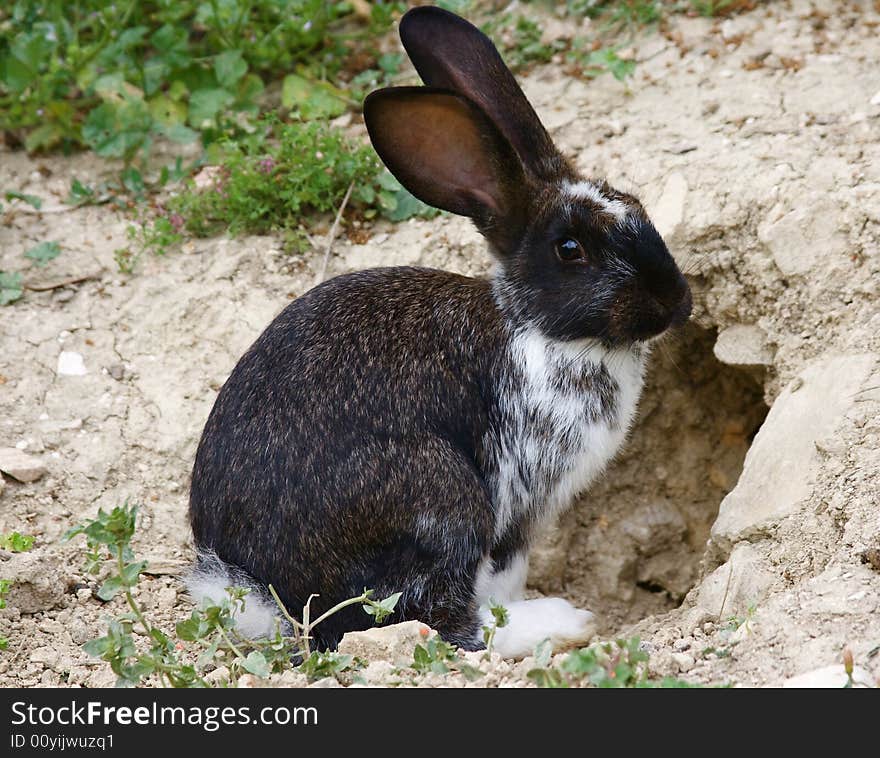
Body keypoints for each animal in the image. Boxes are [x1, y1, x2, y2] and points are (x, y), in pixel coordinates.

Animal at [189, 5, 692, 660]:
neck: (535, 325)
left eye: (634, 203)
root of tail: (266, 596)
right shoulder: (515, 502)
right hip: (439, 496)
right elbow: (495, 580)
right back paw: (561, 623)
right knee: (438, 617)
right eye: (571, 248)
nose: (676, 302)